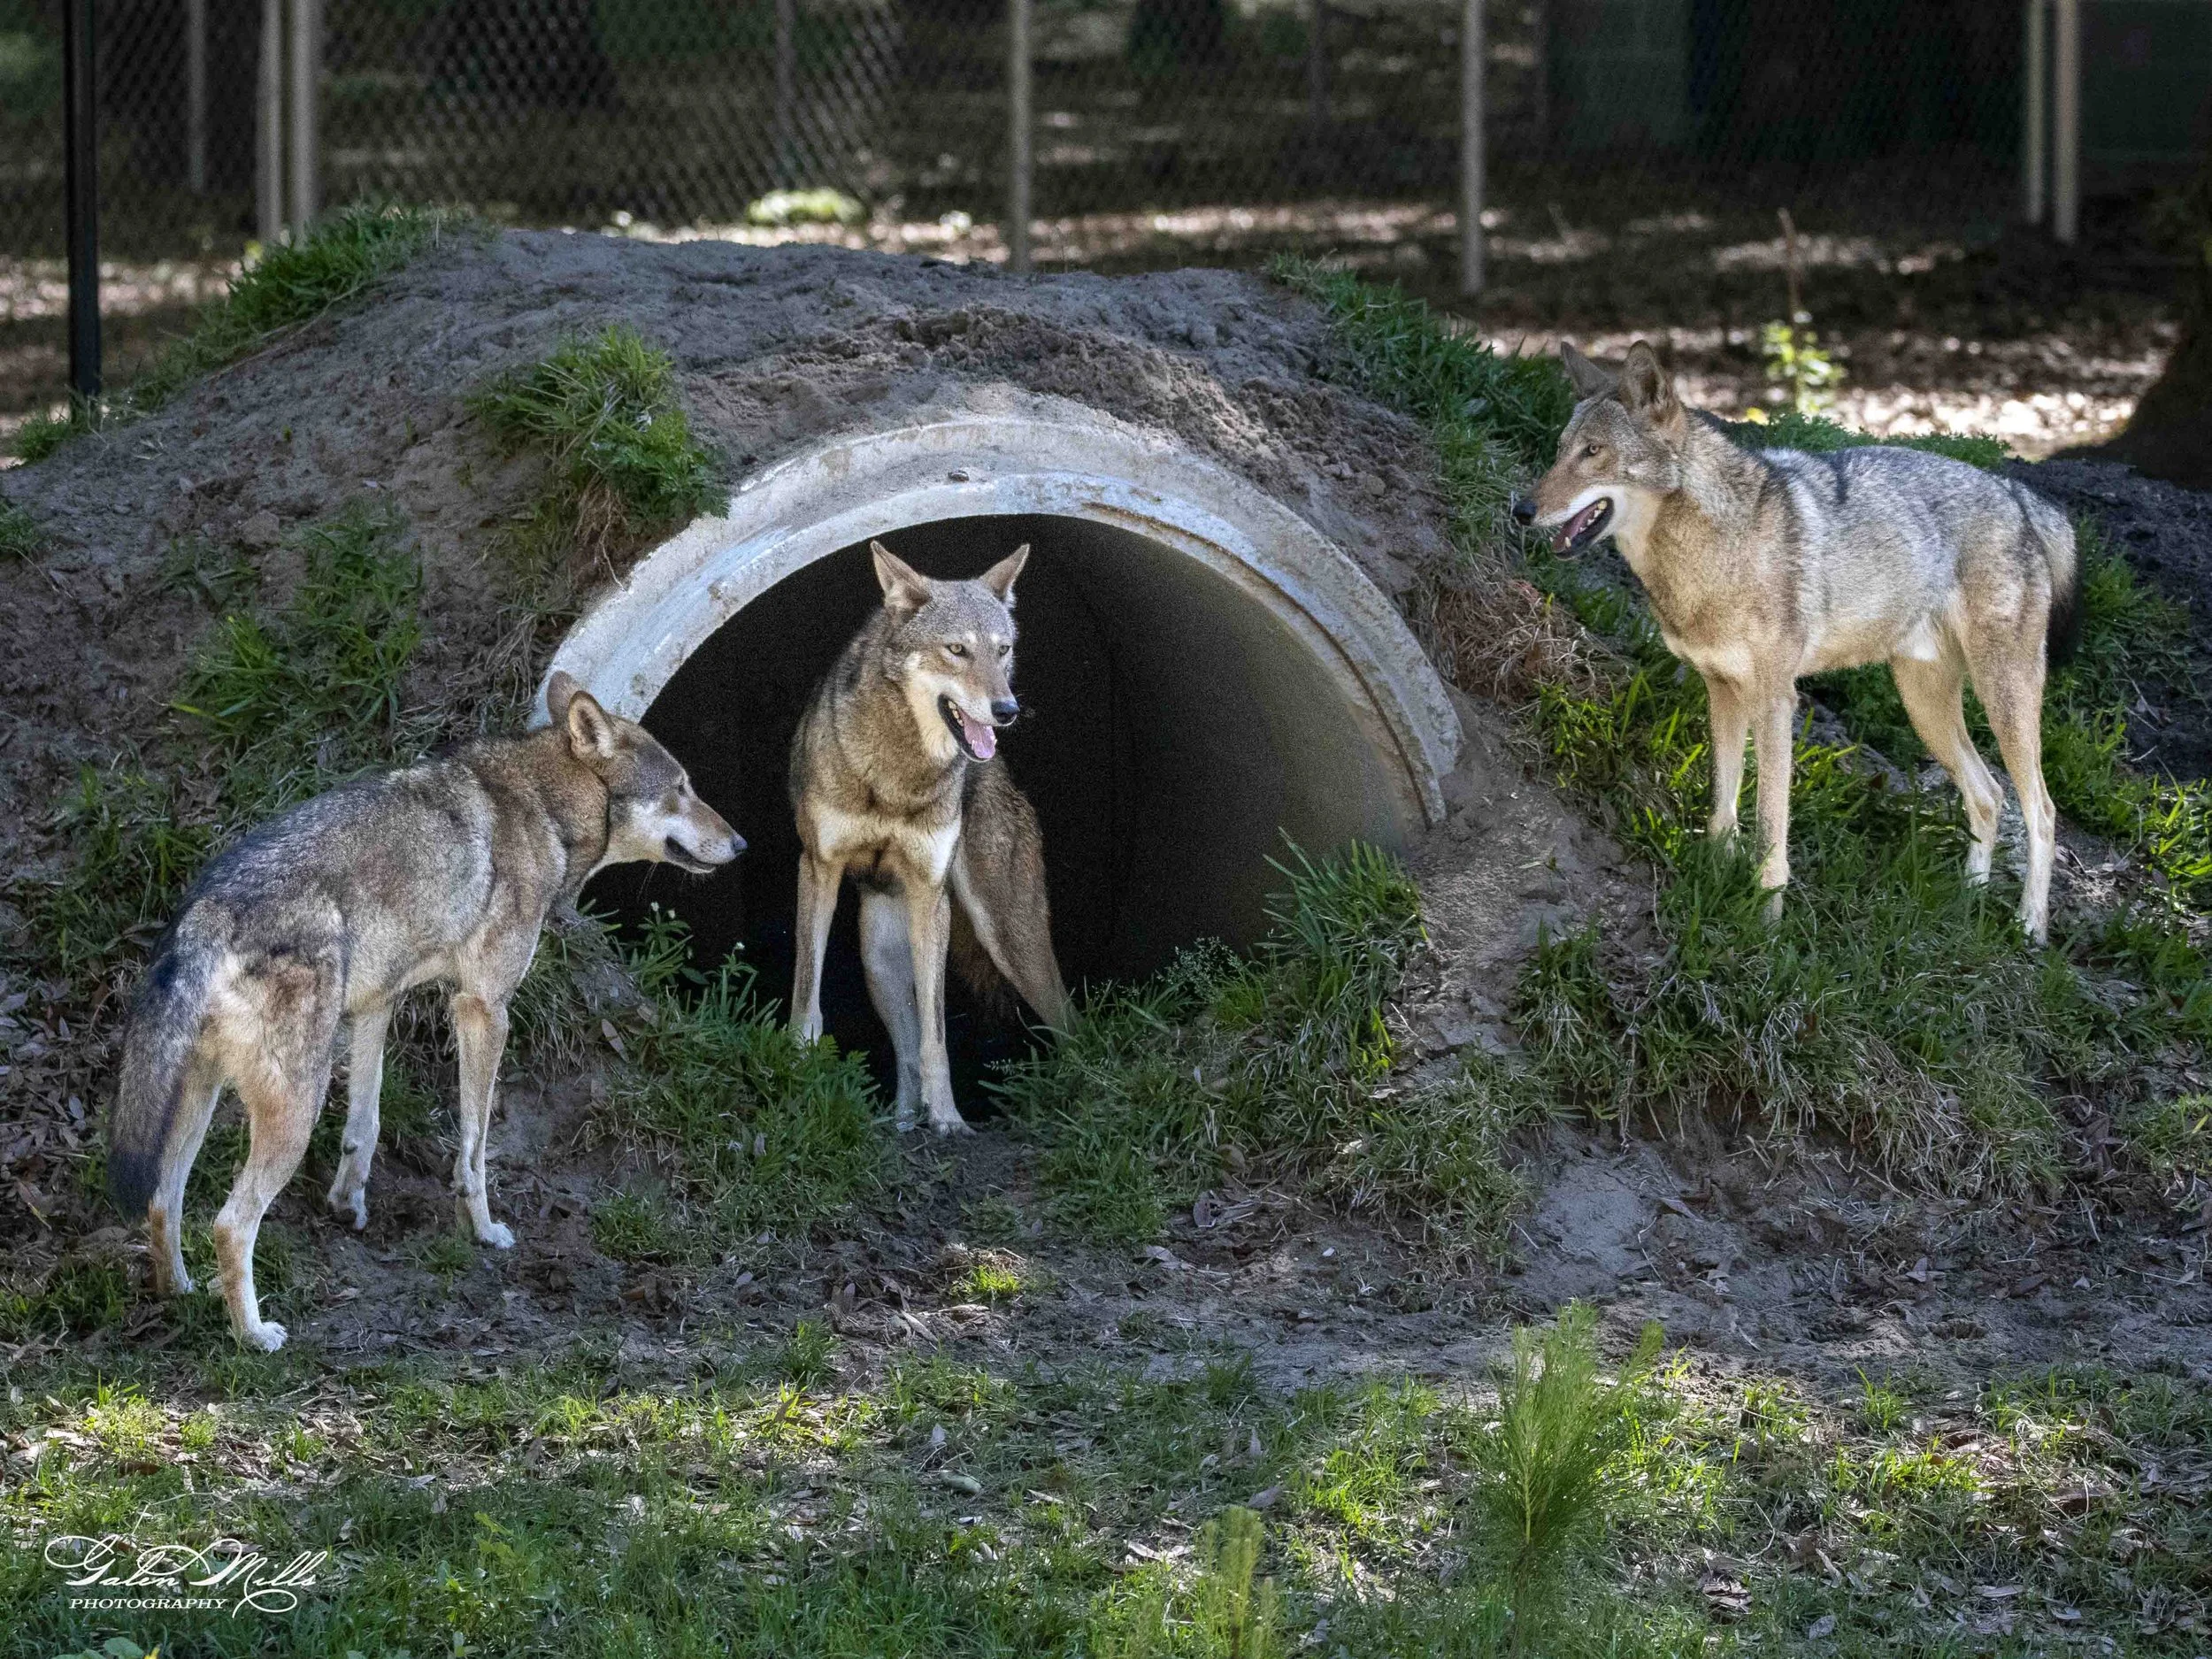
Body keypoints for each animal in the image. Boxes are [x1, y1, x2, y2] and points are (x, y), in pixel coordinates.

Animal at [106, 673, 742, 1350]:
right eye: (681, 789)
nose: (742, 842)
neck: (544, 807)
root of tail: (206, 914)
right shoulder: (484, 1008)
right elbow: (475, 1143)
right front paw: (484, 1229)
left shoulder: (378, 1003)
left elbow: (365, 1123)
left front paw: (348, 1206)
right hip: (292, 1113)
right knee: (230, 1222)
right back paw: (255, 1336)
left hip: (199, 1103)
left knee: (161, 1201)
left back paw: (179, 1292)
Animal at [789, 540, 1071, 1135]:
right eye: (957, 650)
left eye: (1003, 651)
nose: (1007, 710)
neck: (898, 777)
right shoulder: (818, 868)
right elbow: (809, 999)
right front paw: (796, 1071)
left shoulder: (929, 893)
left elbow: (936, 1033)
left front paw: (948, 1119)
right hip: (879, 957)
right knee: (905, 1050)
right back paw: (898, 1123)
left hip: (1008, 935)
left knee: (1069, 1021)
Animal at [1515, 342, 2079, 940]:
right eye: (1561, 451)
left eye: (1593, 452)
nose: (1520, 510)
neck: (1716, 550)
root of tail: (2022, 498)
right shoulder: (1721, 691)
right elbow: (1723, 808)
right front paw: (1715, 882)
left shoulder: (1775, 701)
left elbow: (1769, 825)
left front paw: (1766, 922)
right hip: (1924, 708)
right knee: (1988, 795)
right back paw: (1967, 906)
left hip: (2002, 699)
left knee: (2041, 811)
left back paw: (2029, 928)